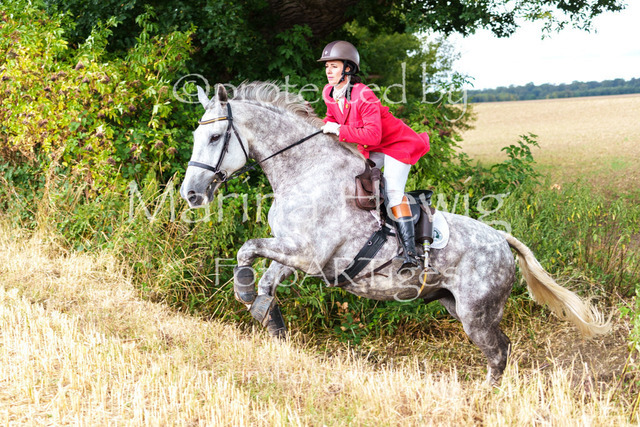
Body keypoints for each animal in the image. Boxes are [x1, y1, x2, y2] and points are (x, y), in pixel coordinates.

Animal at [179, 81, 610, 383]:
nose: (191, 194)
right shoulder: (293, 251)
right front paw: (267, 316)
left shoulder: (309, 256)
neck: (305, 171)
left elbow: (246, 250)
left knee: (498, 351)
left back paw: (485, 397)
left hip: (476, 314)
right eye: (197, 136)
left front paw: (247, 297)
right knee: (497, 350)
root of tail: (502, 239)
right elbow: (266, 277)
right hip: (453, 303)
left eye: (215, 137)